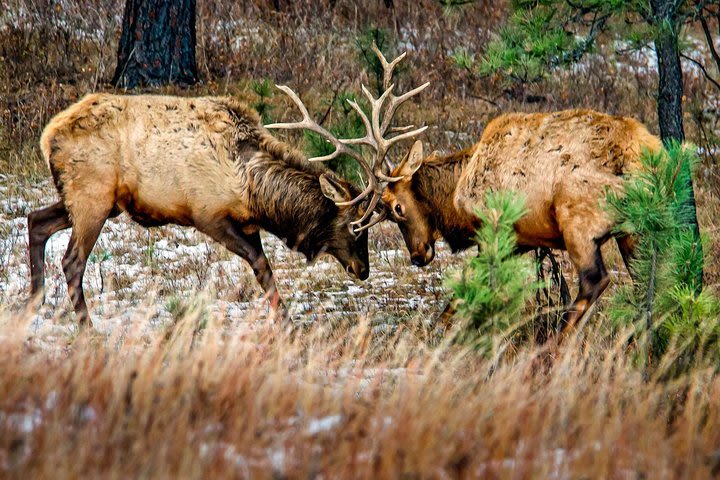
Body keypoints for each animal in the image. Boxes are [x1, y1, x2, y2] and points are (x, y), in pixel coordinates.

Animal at [382, 110, 664, 332]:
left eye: (397, 208)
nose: (417, 256)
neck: (455, 198)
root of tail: (644, 153)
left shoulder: (493, 229)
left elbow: (471, 280)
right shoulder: (521, 241)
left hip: (578, 221)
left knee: (595, 280)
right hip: (633, 230)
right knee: (645, 283)